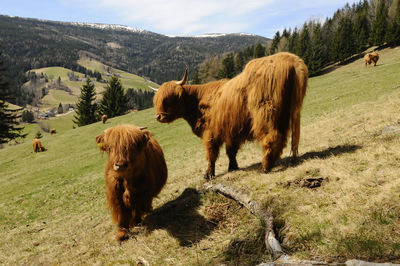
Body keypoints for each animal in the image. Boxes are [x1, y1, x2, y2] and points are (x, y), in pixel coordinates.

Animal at [153, 52, 306, 179]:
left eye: (170, 99)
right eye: (157, 101)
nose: (159, 117)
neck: (196, 102)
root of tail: (291, 60)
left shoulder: (210, 132)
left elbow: (211, 154)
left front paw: (208, 174)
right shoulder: (231, 131)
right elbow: (231, 151)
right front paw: (233, 167)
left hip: (265, 113)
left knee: (272, 137)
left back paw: (265, 167)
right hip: (283, 115)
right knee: (282, 138)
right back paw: (272, 163)